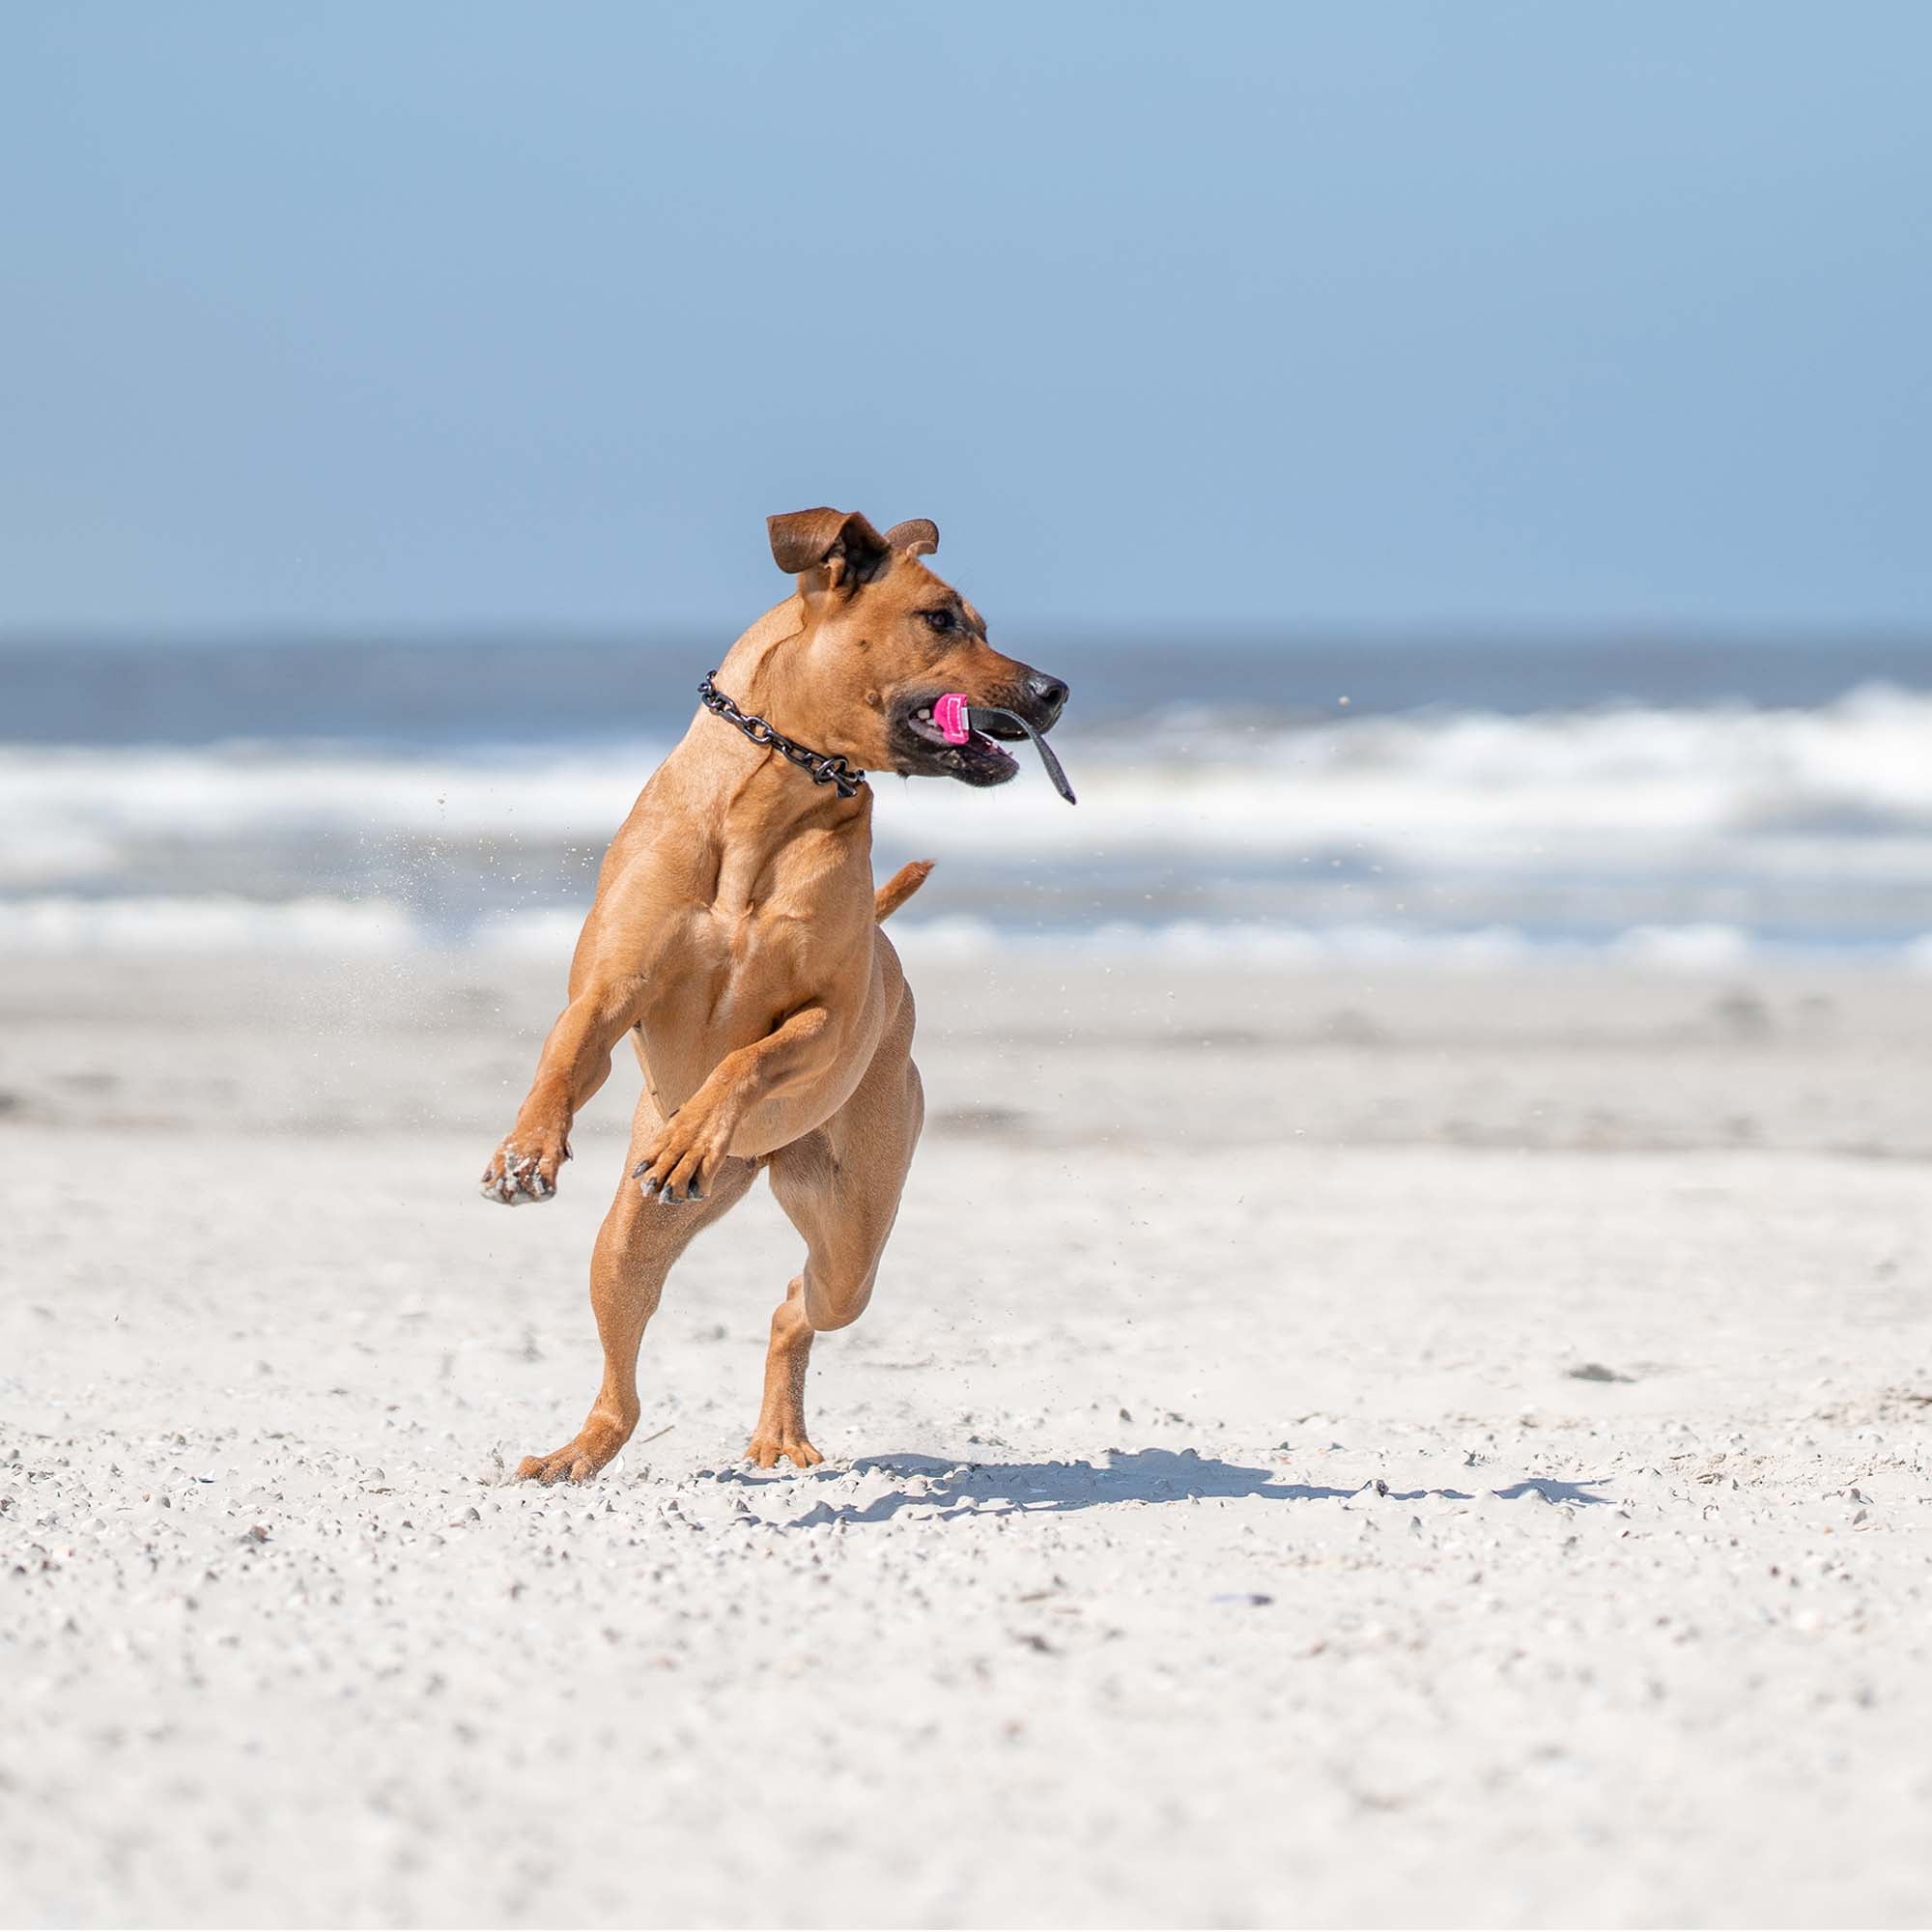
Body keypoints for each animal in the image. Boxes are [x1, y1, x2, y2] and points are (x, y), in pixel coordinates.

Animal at [475, 510, 1066, 1476]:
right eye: (943, 620)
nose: (1056, 690)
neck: (775, 792)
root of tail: (764, 1163)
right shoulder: (610, 988)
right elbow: (567, 1051)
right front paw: (526, 1149)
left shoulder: (829, 1016)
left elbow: (753, 1055)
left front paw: (692, 1132)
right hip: (629, 1241)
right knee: (624, 1371)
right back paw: (580, 1450)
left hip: (853, 1232)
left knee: (798, 1302)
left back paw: (778, 1422)